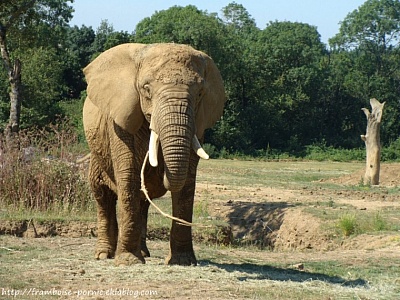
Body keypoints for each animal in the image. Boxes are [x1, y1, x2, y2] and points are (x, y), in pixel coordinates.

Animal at [82, 42, 225, 264]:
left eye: (200, 93)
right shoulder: (119, 122)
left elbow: (186, 183)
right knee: (103, 197)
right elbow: (128, 177)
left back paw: (143, 253)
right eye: (146, 89)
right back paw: (104, 255)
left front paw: (182, 262)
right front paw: (128, 261)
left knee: (143, 202)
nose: (158, 168)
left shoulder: (198, 124)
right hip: (97, 155)